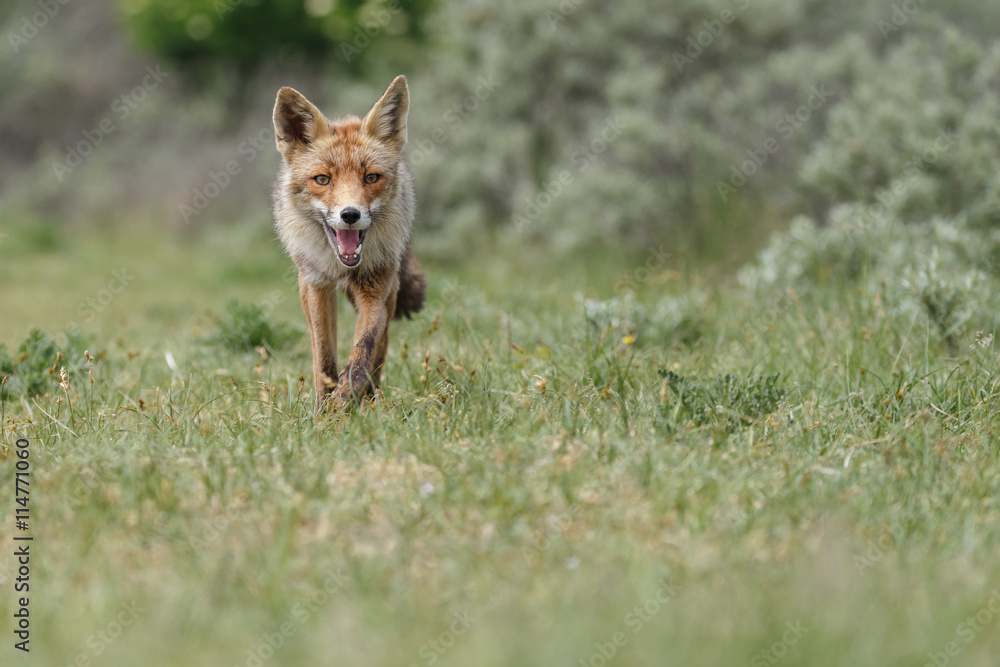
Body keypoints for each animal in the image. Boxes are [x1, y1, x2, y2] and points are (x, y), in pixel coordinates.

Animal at [271, 75, 425, 411]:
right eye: (323, 179)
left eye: (371, 178)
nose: (350, 214)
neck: (342, 267)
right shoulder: (315, 287)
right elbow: (323, 355)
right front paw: (323, 406)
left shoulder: (375, 289)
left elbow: (363, 350)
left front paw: (344, 399)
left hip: (390, 292)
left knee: (380, 348)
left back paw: (370, 397)